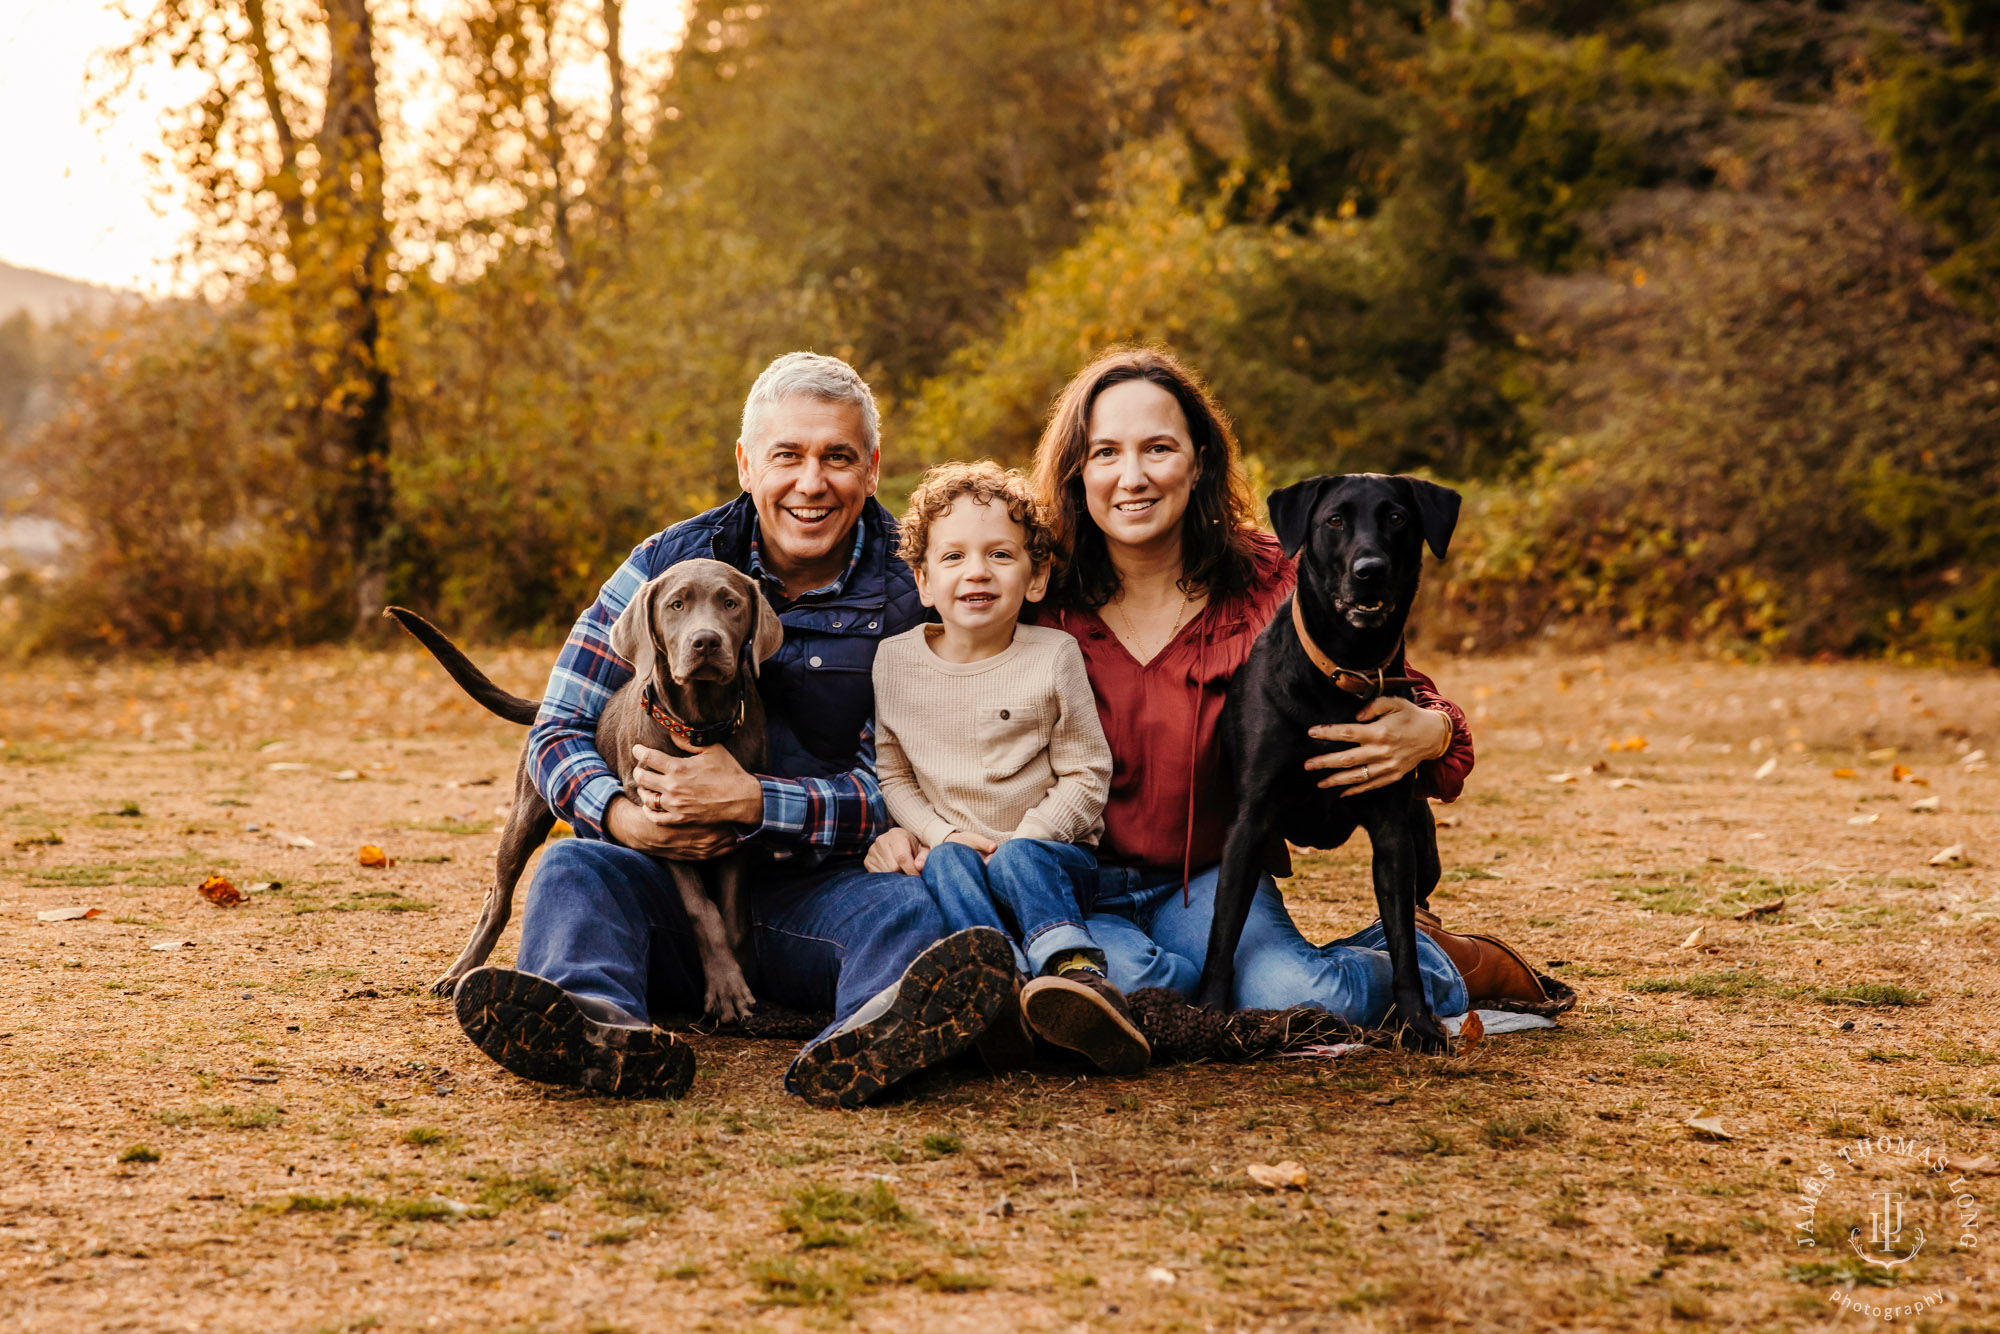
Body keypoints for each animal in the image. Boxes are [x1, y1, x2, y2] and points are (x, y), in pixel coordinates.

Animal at [382, 560, 780, 1032]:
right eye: (676, 605)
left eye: (731, 603)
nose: (706, 641)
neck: (699, 726)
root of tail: (543, 707)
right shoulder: (664, 828)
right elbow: (703, 909)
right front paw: (725, 987)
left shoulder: (735, 825)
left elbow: (731, 916)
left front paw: (734, 979)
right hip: (524, 815)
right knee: (498, 899)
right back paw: (462, 970)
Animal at [1192, 474, 1464, 1048]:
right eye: (1334, 520)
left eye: (1397, 518)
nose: (1370, 570)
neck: (1346, 665)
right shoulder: (1249, 823)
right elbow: (1222, 934)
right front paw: (1207, 1012)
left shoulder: (1392, 833)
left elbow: (1403, 944)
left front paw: (1417, 1022)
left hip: (1425, 849)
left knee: (1420, 915)